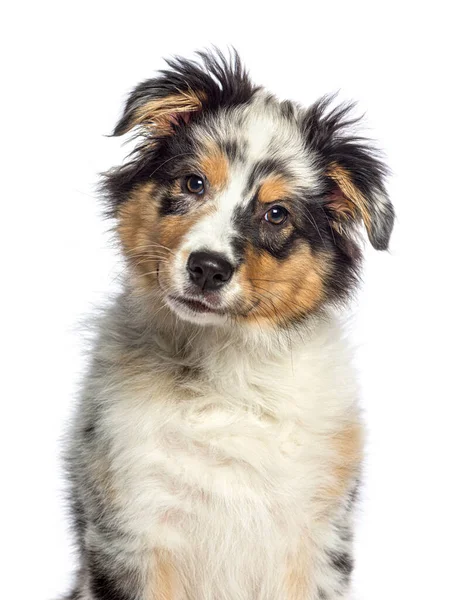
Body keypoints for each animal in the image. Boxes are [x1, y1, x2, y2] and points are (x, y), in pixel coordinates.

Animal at [63, 49, 394, 596]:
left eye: (276, 214)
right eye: (194, 183)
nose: (208, 268)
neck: (225, 372)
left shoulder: (314, 538)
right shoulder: (132, 527)